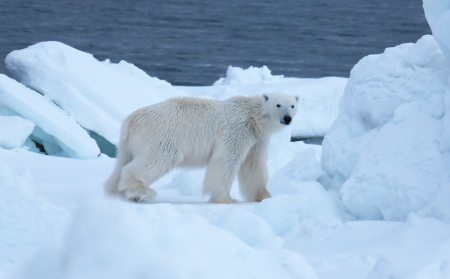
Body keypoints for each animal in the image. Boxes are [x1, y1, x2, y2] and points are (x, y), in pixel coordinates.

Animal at [104, 93, 298, 205]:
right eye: (278, 105)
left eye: (292, 105)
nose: (287, 118)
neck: (252, 115)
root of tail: (131, 120)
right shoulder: (235, 129)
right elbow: (226, 160)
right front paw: (226, 199)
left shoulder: (257, 139)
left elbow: (254, 166)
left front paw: (264, 196)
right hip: (163, 135)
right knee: (157, 158)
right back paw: (141, 191)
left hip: (129, 144)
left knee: (122, 163)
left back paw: (115, 190)